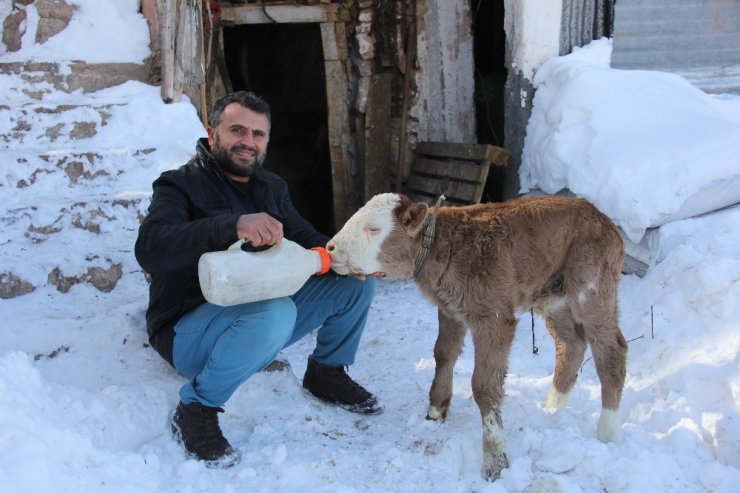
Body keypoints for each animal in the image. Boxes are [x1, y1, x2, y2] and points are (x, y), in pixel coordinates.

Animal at [330, 193, 632, 480]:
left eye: (374, 228)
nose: (331, 248)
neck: (443, 246)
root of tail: (605, 220)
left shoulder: (494, 317)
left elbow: (484, 385)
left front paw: (496, 460)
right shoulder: (450, 309)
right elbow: (443, 354)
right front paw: (436, 410)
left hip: (592, 284)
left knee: (611, 350)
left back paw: (607, 431)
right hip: (553, 295)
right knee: (571, 344)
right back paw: (553, 408)